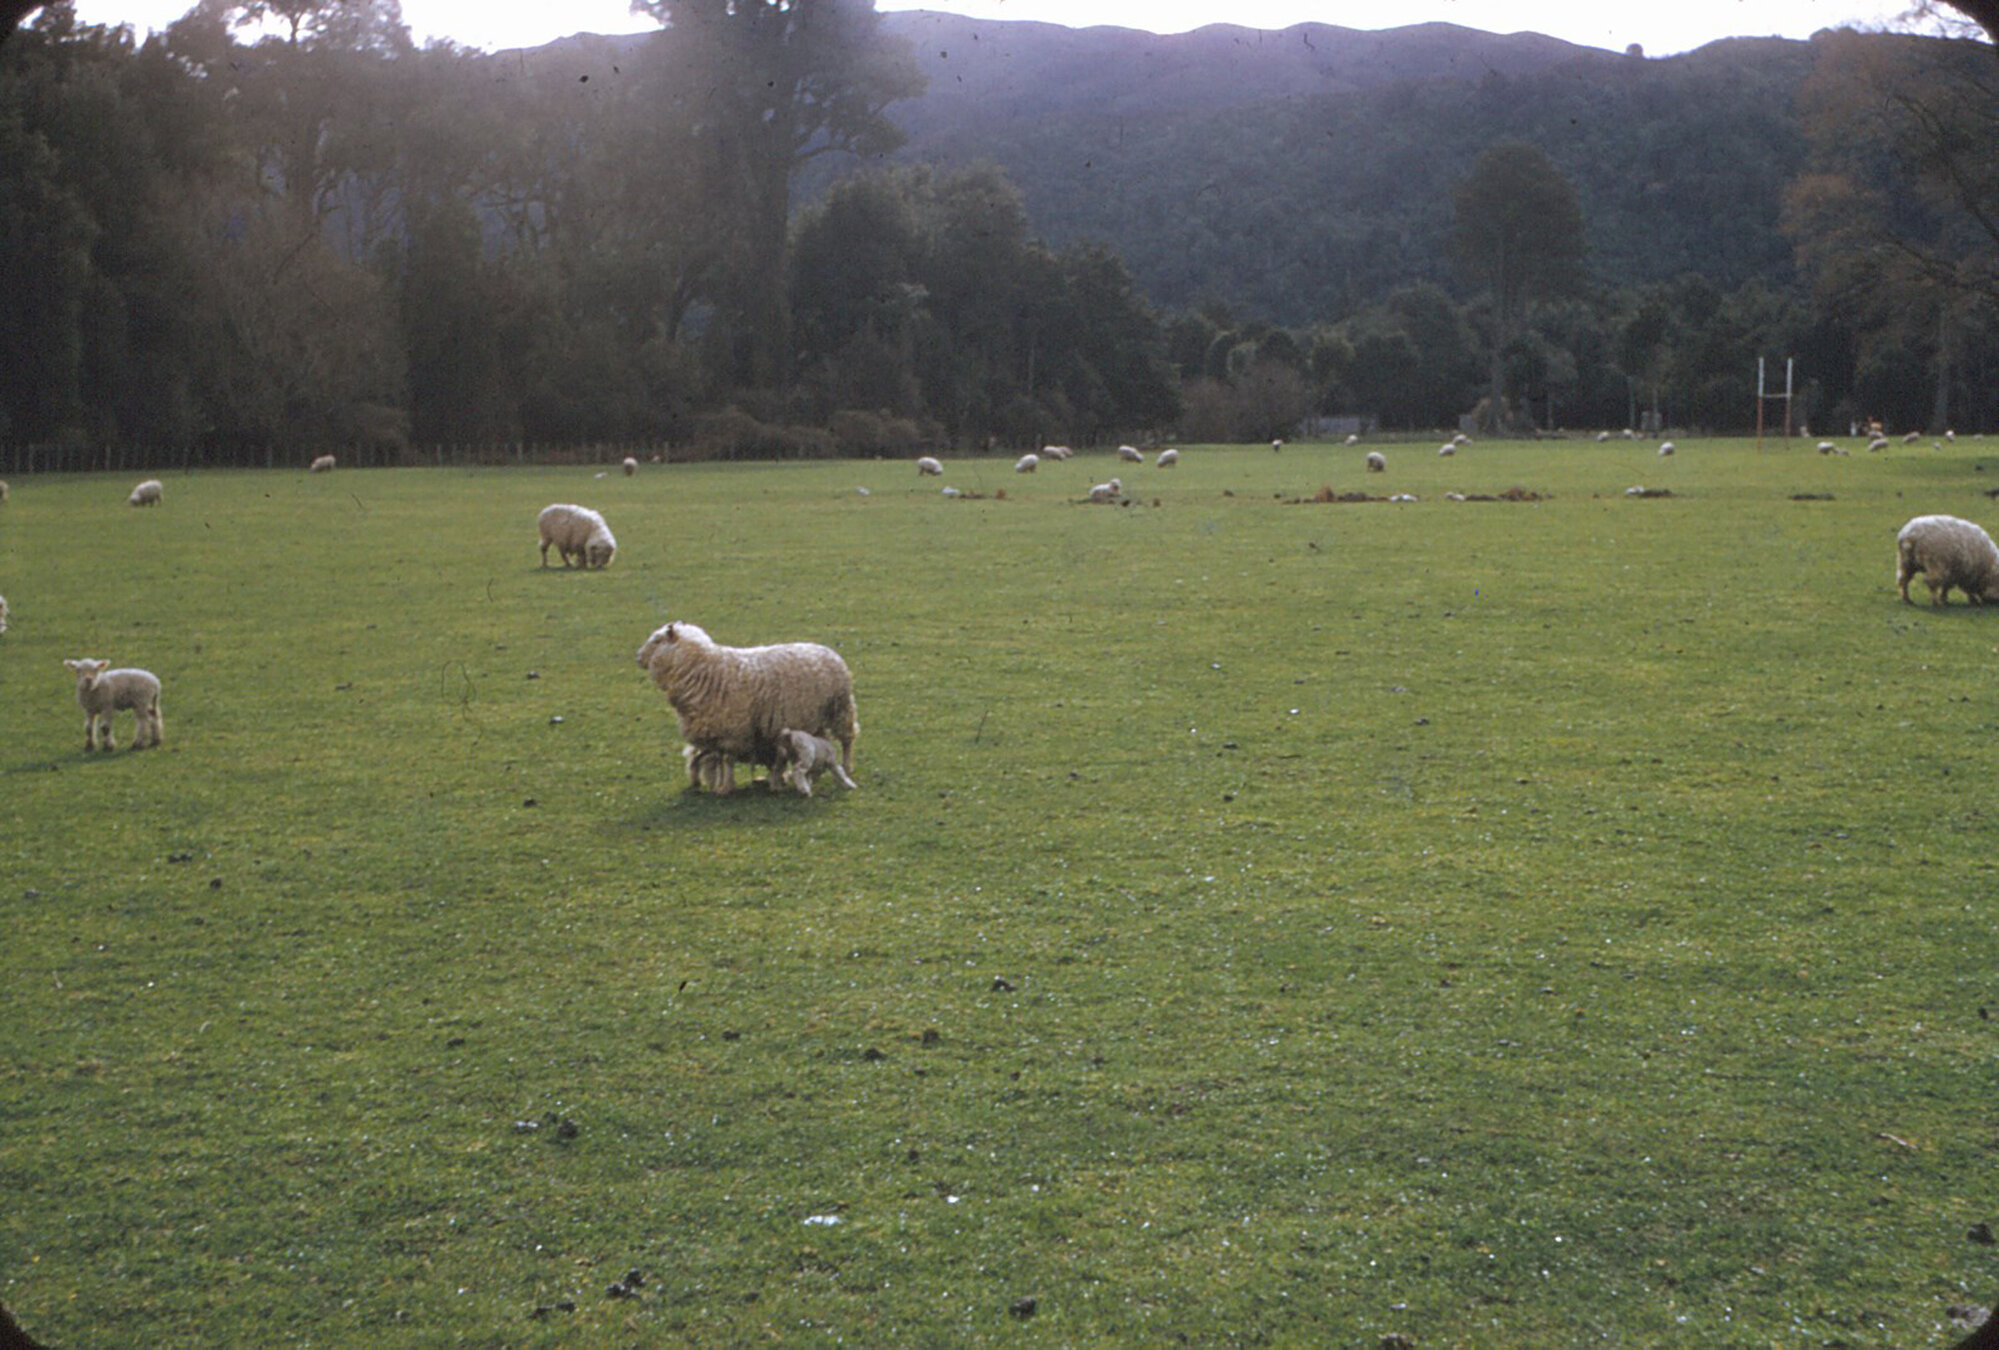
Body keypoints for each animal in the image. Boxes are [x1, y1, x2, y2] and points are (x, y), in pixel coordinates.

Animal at [637, 620, 858, 795]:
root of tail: (828, 650)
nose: (638, 658)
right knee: (822, 741)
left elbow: (727, 759)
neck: (702, 669)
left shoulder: (732, 730)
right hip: (814, 717)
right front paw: (720, 785)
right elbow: (717, 758)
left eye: (656, 640)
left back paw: (847, 767)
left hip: (840, 708)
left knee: (847, 740)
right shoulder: (716, 731)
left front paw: (725, 787)